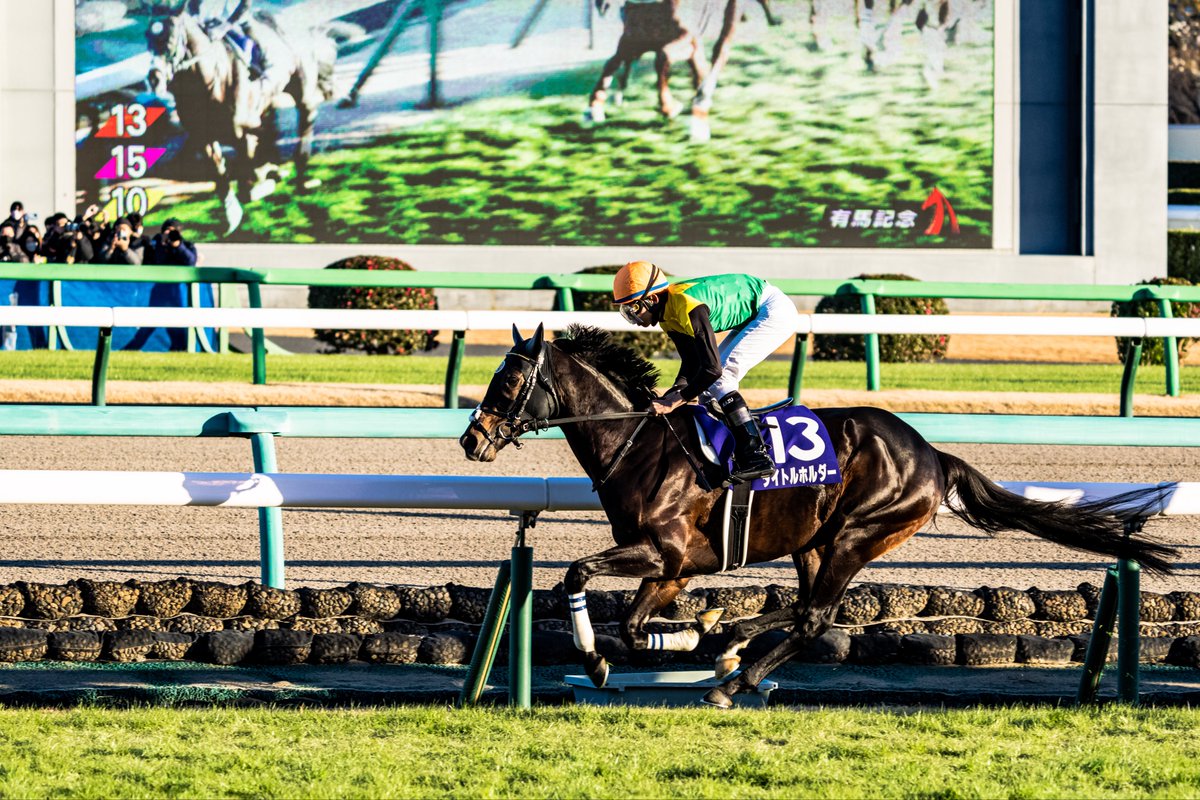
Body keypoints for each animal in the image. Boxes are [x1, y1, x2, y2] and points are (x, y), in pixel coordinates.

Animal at [145, 0, 339, 234]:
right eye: (147, 37)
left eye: (170, 36)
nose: (154, 78)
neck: (208, 81)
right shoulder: (204, 136)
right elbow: (221, 175)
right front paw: (233, 214)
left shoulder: (241, 128)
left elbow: (249, 168)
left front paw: (263, 179)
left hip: (302, 90)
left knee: (306, 120)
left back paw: (302, 177)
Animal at [460, 325, 1178, 708]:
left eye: (508, 382)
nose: (472, 439)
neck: (638, 442)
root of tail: (932, 454)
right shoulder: (676, 569)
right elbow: (635, 627)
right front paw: (689, 637)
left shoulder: (663, 553)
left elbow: (576, 575)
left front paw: (601, 661)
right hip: (815, 537)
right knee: (805, 607)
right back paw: (732, 640)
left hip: (860, 532)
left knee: (815, 616)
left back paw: (736, 678)